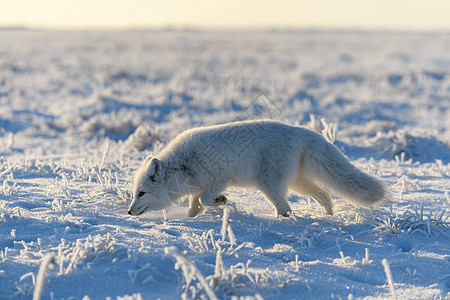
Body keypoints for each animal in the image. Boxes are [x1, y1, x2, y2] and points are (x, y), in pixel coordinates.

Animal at [127, 120, 390, 218]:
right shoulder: (197, 185)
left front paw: (222, 201)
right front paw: (192, 218)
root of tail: (302, 132)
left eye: (141, 193)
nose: (129, 212)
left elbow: (205, 198)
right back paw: (327, 217)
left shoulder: (221, 179)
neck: (180, 167)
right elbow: (195, 204)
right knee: (324, 195)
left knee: (286, 209)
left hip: (270, 186)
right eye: (134, 193)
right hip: (297, 184)